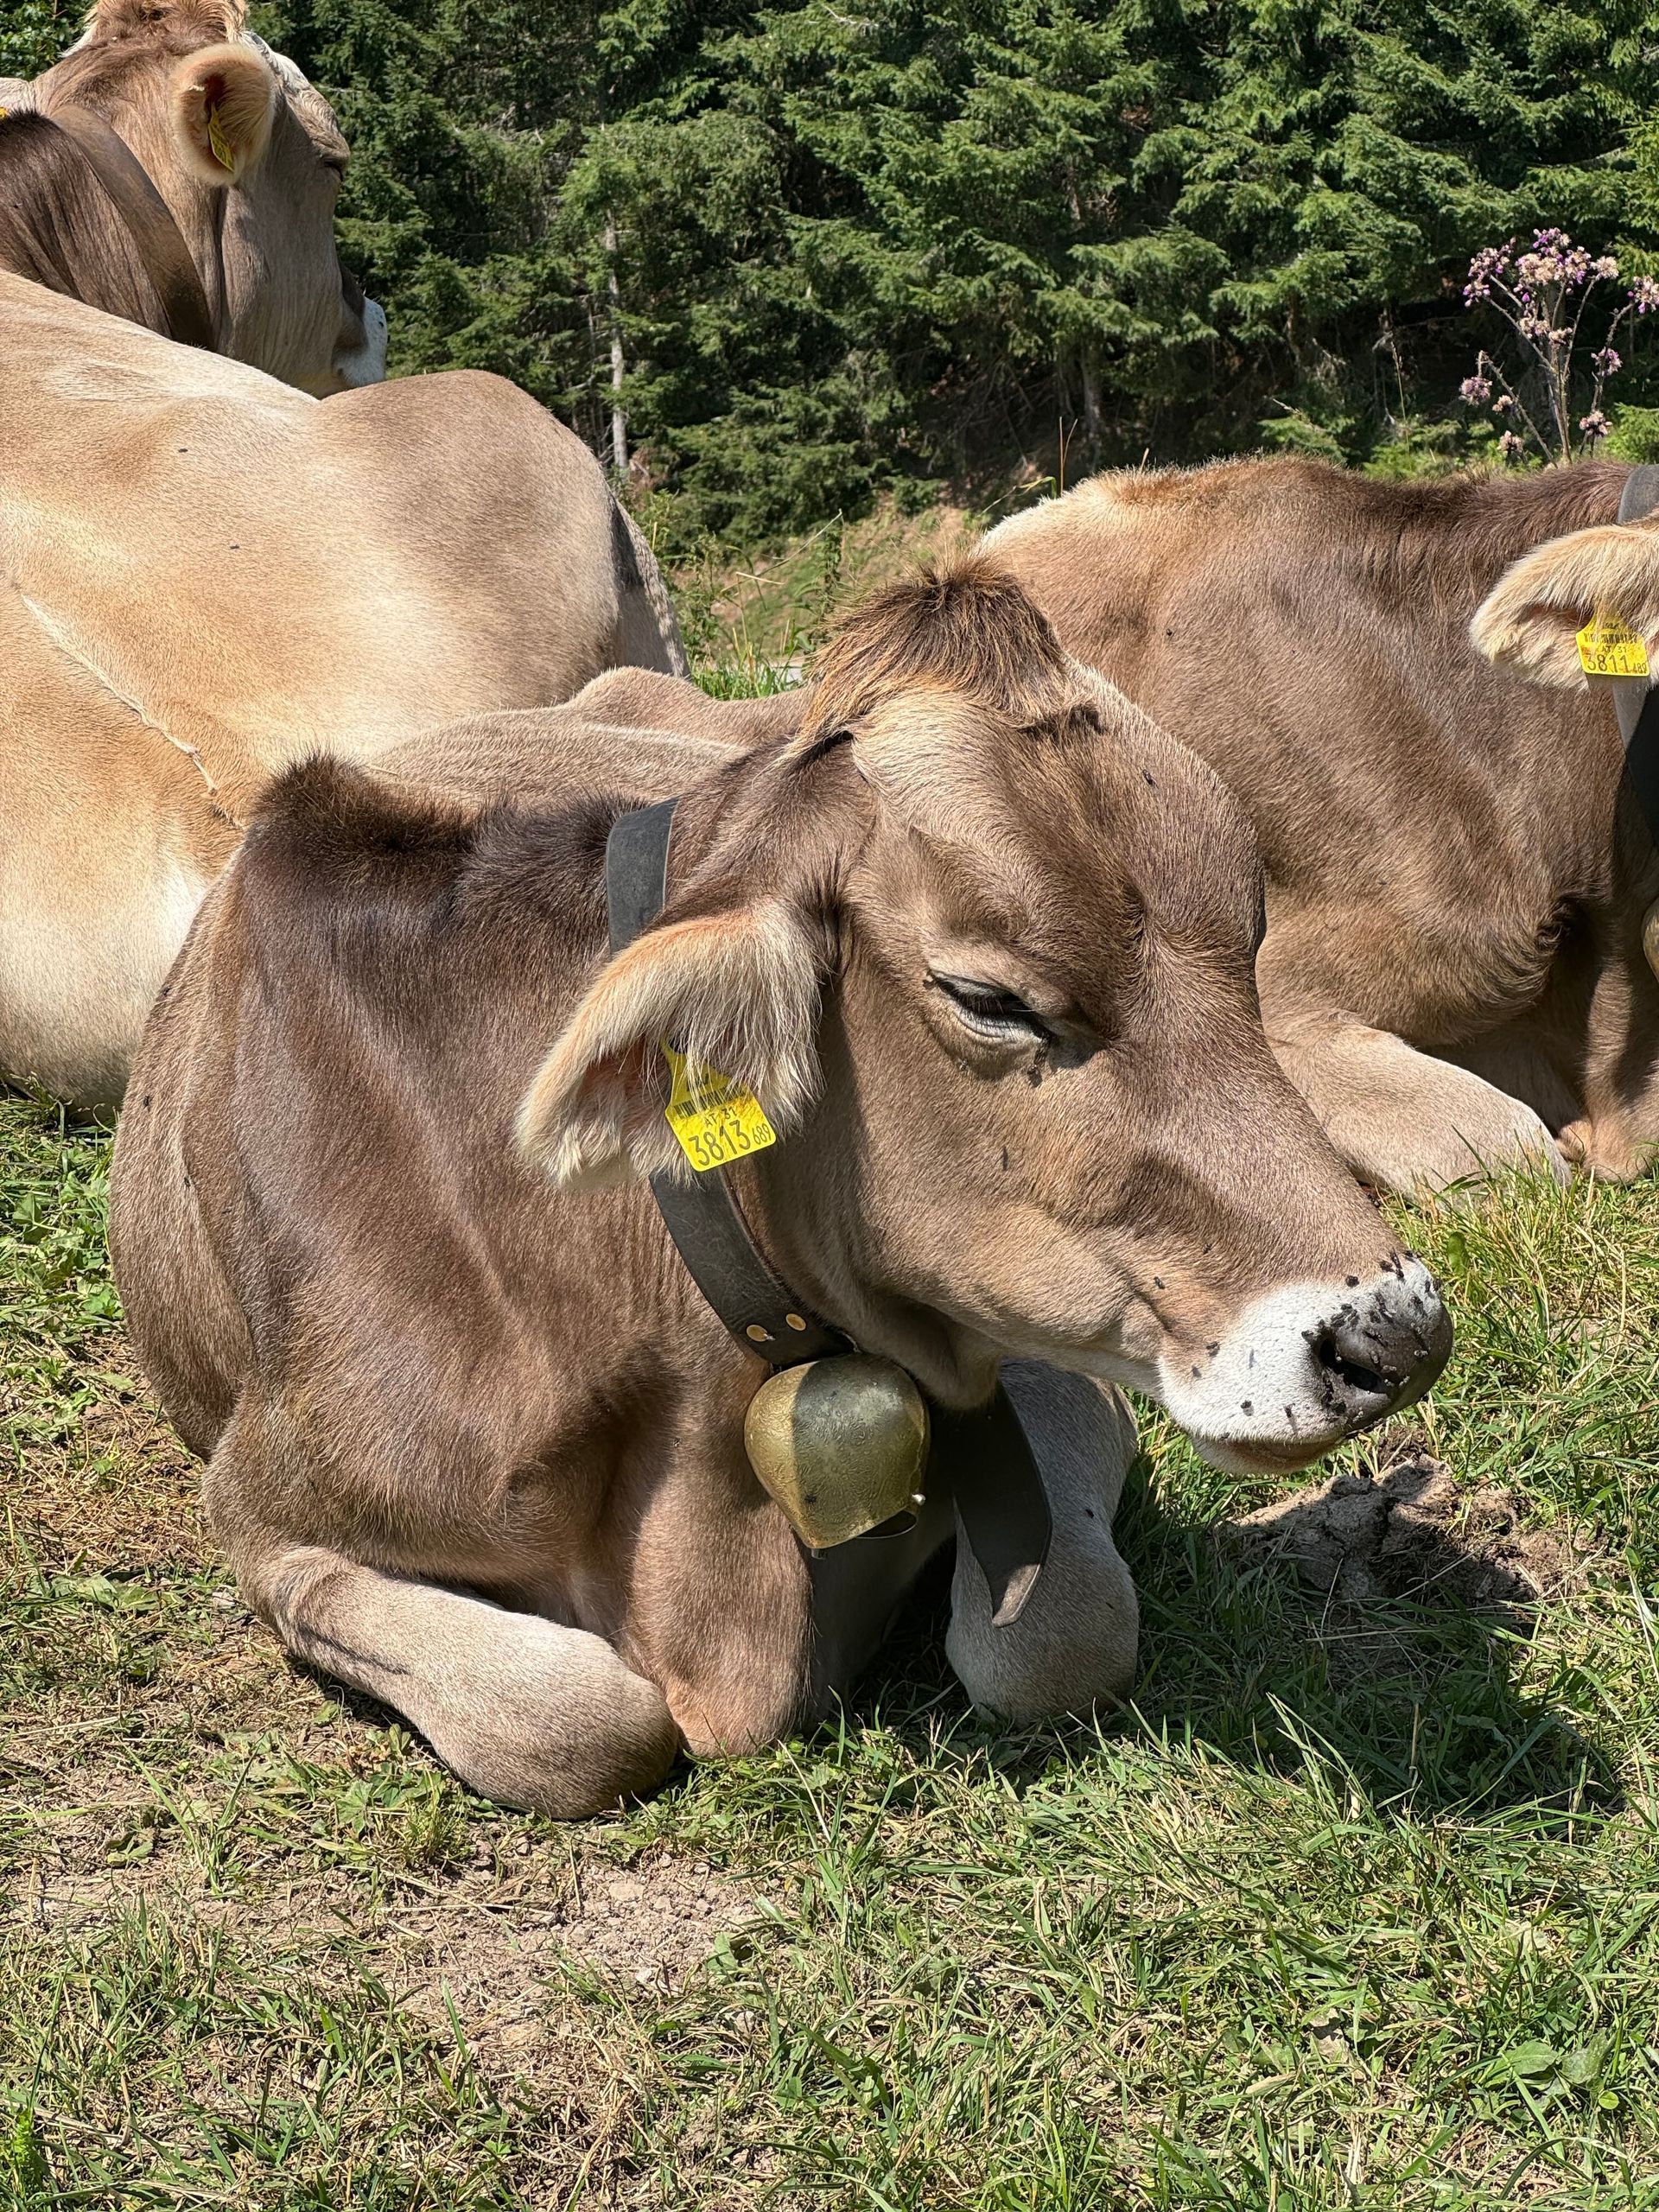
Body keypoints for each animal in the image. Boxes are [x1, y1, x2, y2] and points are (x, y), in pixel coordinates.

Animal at [109, 564, 1451, 1817]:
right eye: (991, 1000)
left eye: (1251, 939)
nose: (1395, 1333)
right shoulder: (262, 1515)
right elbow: (576, 1720)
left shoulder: (1048, 1363)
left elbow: (1051, 1635)